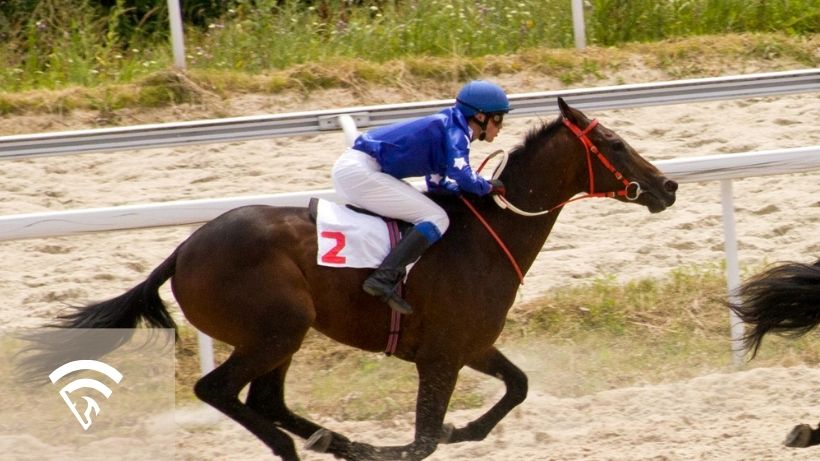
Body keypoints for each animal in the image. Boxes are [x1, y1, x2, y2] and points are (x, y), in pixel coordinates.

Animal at [23, 97, 677, 460]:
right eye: (615, 142)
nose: (668, 187)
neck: (488, 234)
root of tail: (183, 250)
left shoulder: (471, 345)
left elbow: (516, 387)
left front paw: (464, 430)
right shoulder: (440, 357)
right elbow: (421, 441)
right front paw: (407, 442)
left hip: (282, 334)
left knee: (266, 398)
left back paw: (331, 442)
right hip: (278, 328)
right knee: (219, 391)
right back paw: (304, 447)